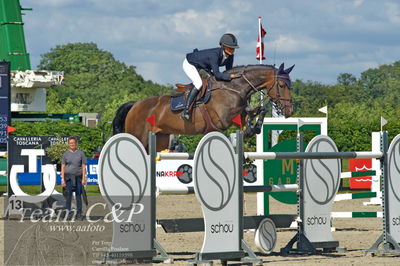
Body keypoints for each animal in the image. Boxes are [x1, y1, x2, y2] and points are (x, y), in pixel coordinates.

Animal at [112, 61, 294, 151]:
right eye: (282, 85)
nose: (289, 111)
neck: (234, 87)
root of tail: (134, 105)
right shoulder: (224, 119)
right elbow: (248, 110)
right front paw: (251, 127)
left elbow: (257, 110)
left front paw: (253, 127)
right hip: (138, 137)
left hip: (159, 140)